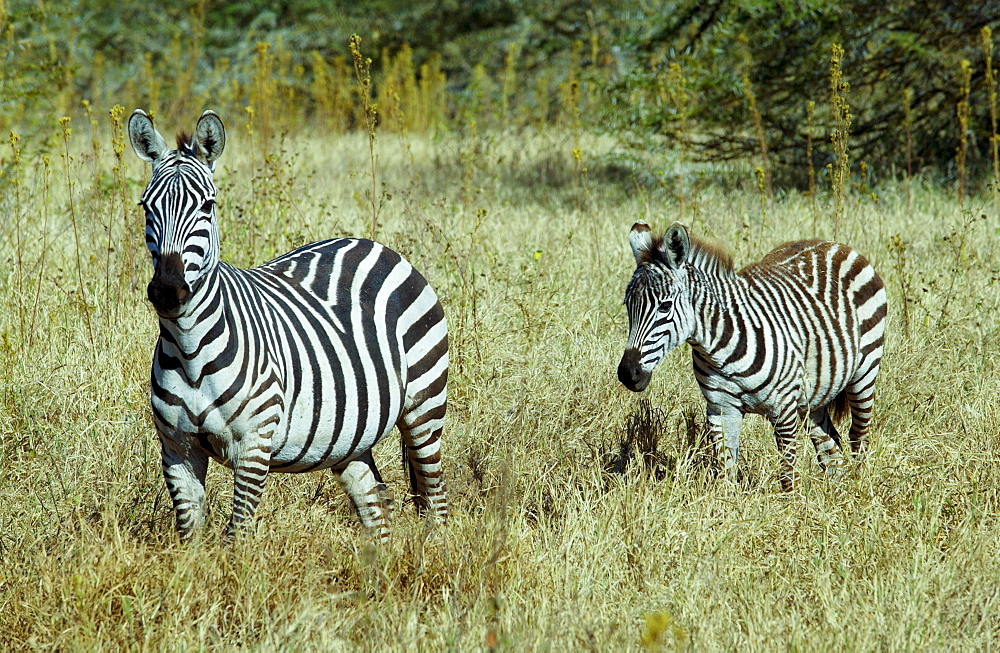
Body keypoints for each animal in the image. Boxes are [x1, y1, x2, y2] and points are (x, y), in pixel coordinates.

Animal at [129, 109, 450, 544]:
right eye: (146, 207)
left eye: (208, 206)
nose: (167, 290)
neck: (190, 348)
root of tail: (372, 243)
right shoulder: (177, 447)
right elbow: (189, 536)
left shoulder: (253, 444)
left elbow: (237, 537)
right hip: (349, 434)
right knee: (375, 505)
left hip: (424, 407)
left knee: (435, 501)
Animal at [620, 223, 888, 488]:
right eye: (627, 306)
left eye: (665, 306)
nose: (628, 373)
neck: (720, 347)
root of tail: (833, 244)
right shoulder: (721, 409)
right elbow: (725, 474)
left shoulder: (784, 411)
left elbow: (788, 476)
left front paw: (790, 501)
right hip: (813, 392)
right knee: (831, 451)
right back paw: (838, 490)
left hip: (865, 371)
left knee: (858, 435)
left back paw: (859, 487)